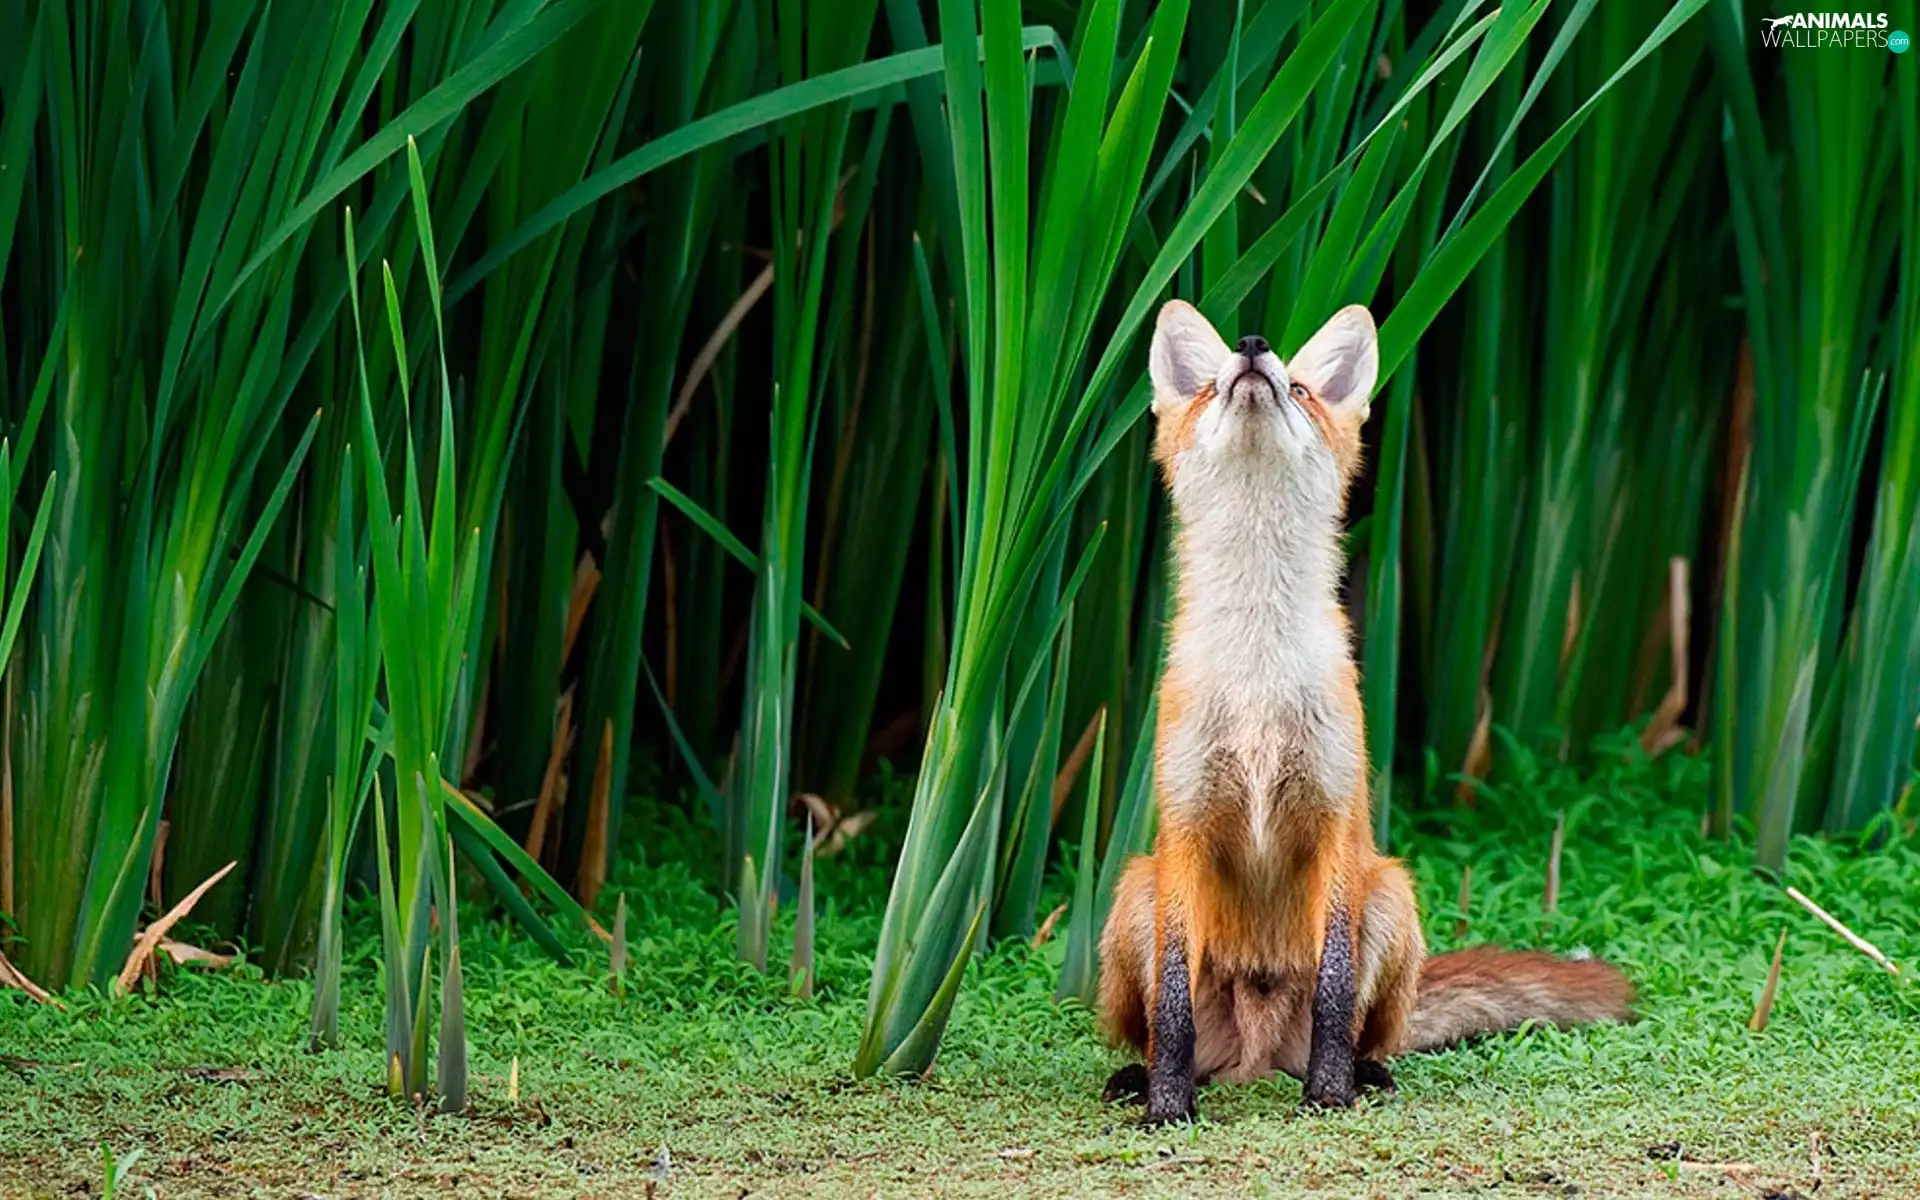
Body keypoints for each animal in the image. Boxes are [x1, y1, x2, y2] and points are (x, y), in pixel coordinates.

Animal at [1096, 300, 1632, 1124]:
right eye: (1212, 386)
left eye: (1303, 390)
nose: (1253, 347)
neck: (1259, 676)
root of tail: (1256, 1056)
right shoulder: (1183, 831)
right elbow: (1176, 1006)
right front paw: (1169, 1106)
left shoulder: (1336, 824)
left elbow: (1335, 987)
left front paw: (1327, 1093)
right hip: (1135, 894)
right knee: (1160, 1028)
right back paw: (1142, 1077)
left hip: (1391, 897)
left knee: (1365, 1029)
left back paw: (1364, 1073)